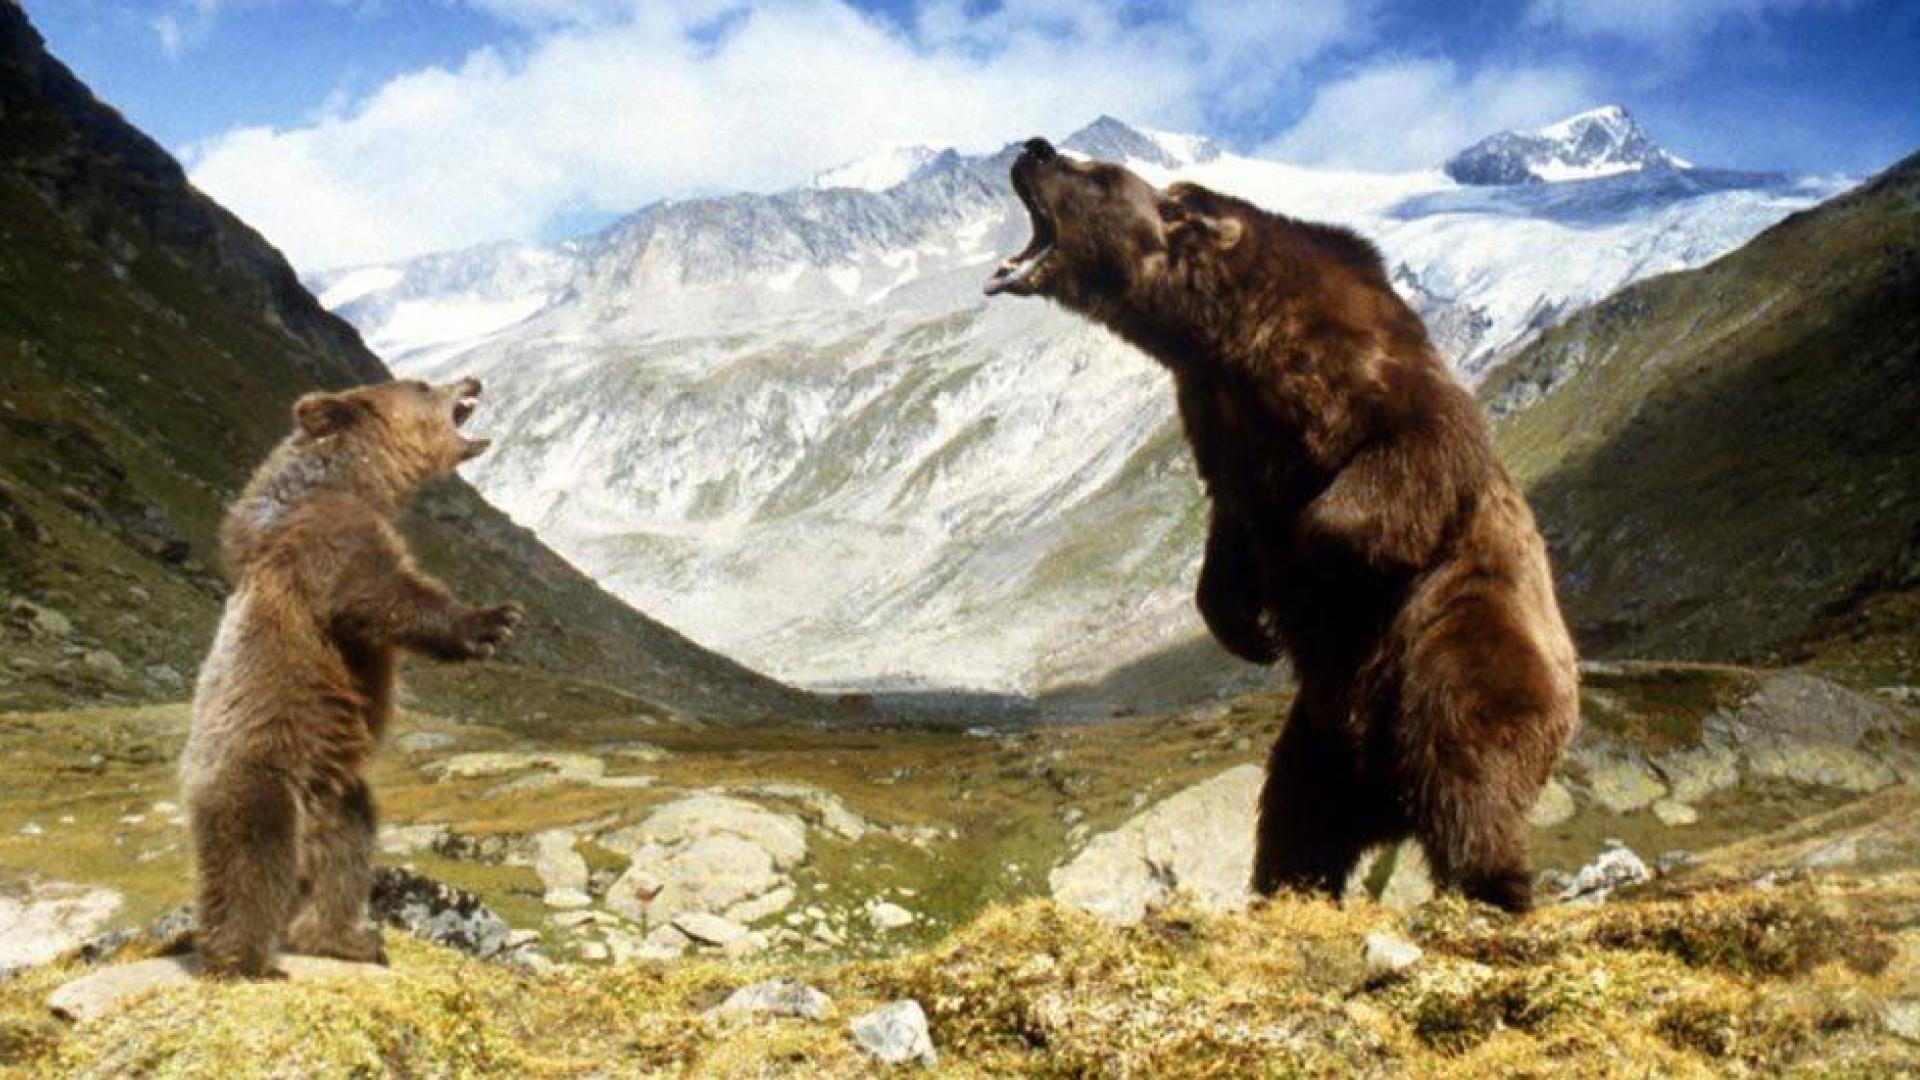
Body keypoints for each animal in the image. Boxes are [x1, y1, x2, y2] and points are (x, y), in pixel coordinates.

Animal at [180, 377, 523, 976]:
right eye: (421, 386)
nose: (471, 381)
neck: (356, 481)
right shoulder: (330, 537)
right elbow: (379, 593)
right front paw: (492, 621)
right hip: (257, 772)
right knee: (251, 859)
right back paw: (244, 959)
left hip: (337, 786)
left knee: (345, 849)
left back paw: (348, 938)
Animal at [986, 139, 1579, 912]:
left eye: (1097, 173)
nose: (1032, 148)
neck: (1222, 333)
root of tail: (1384, 791)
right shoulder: (1222, 423)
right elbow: (1228, 528)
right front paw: (1247, 628)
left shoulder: (1365, 369)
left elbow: (1407, 453)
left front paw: (1306, 571)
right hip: (1317, 736)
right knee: (1298, 815)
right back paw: (1287, 888)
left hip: (1461, 643)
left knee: (1466, 764)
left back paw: (1491, 885)